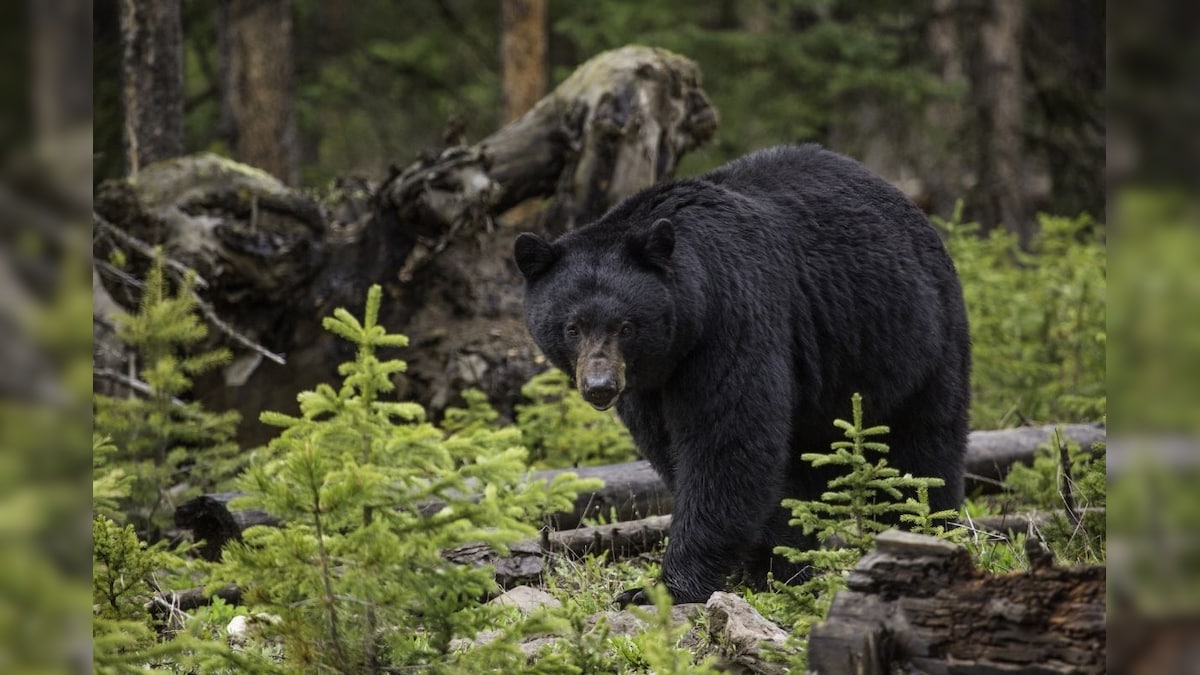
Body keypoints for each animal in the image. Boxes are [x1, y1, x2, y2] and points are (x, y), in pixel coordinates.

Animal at [511, 144, 969, 600]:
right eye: (572, 327)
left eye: (625, 326)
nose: (600, 387)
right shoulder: (650, 384)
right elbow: (672, 448)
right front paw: (768, 565)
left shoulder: (732, 319)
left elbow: (727, 442)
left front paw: (666, 587)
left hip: (917, 340)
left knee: (925, 448)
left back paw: (923, 532)